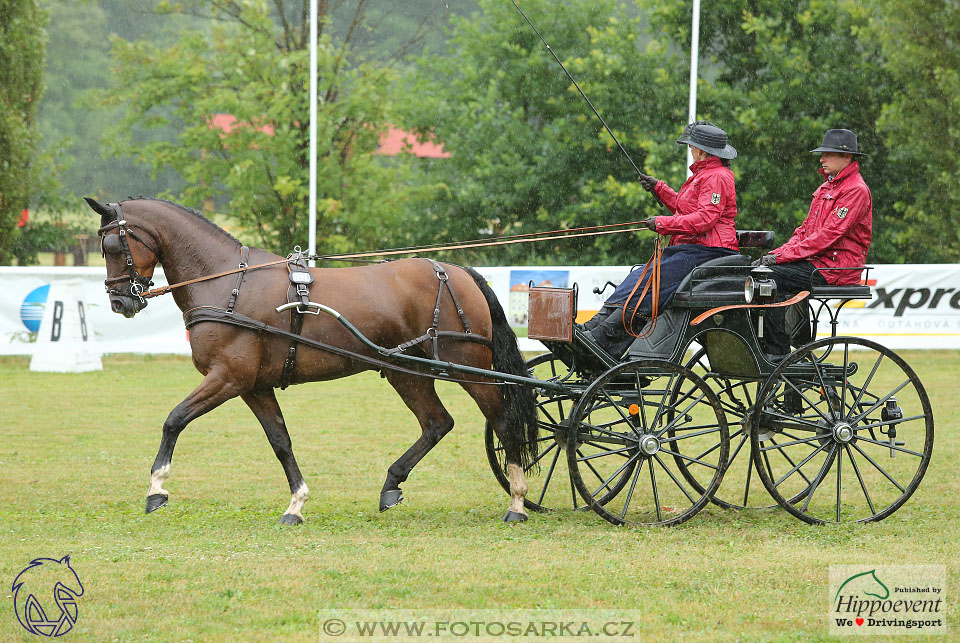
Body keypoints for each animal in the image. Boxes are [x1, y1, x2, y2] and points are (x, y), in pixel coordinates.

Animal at [83, 195, 540, 524]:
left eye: (112, 245)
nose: (120, 301)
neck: (229, 283)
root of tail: (456, 271)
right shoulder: (254, 386)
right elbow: (280, 441)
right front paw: (296, 504)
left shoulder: (228, 377)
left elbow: (174, 419)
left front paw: (156, 488)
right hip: (406, 372)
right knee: (436, 423)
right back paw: (392, 483)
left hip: (467, 366)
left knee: (502, 420)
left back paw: (517, 502)